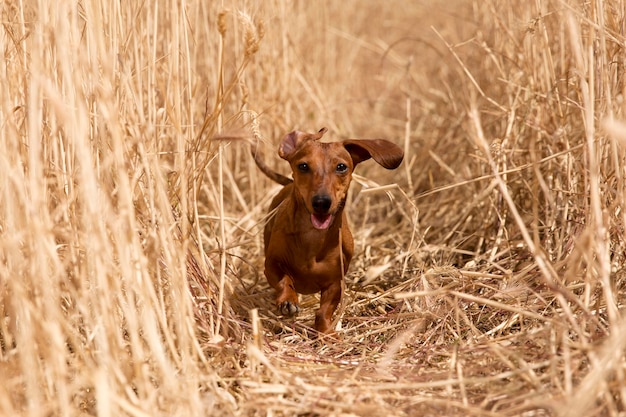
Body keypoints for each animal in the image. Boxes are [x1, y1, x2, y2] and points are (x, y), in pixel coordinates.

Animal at [251, 128, 402, 334]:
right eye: (303, 166)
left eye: (341, 167)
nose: (321, 202)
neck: (313, 236)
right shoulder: (272, 265)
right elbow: (283, 280)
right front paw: (288, 300)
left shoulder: (335, 283)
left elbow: (324, 312)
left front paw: (326, 333)